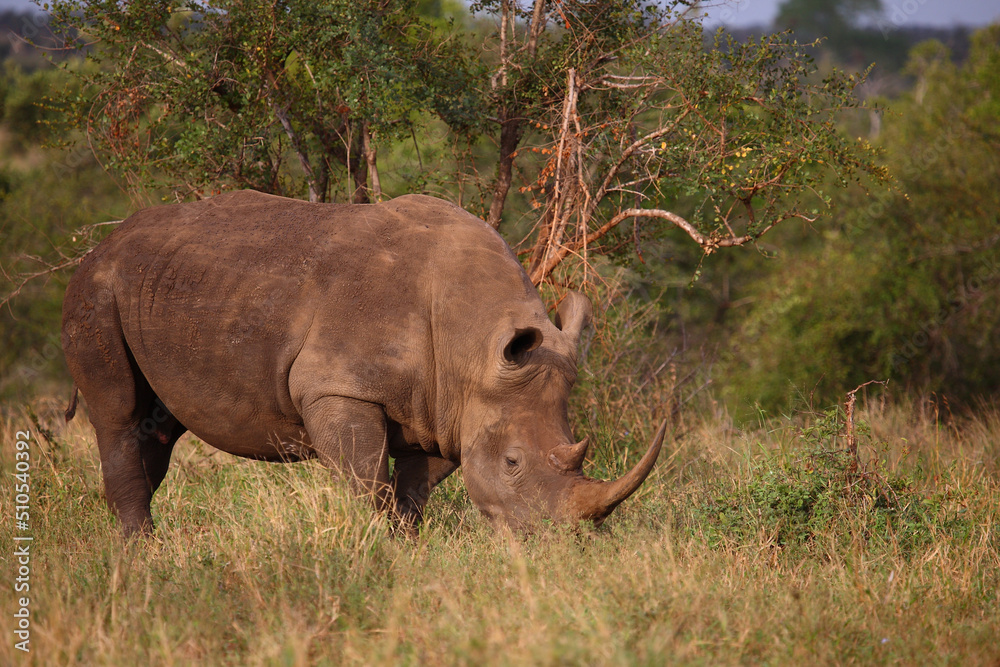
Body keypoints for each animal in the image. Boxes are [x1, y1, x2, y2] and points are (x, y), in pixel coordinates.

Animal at [62, 190, 665, 536]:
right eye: (514, 462)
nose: (562, 544)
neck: (473, 347)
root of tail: (102, 244)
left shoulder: (443, 409)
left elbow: (414, 490)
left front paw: (406, 547)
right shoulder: (337, 387)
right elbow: (368, 483)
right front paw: (378, 547)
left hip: (166, 287)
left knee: (158, 428)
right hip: (96, 290)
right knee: (119, 416)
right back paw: (142, 555)